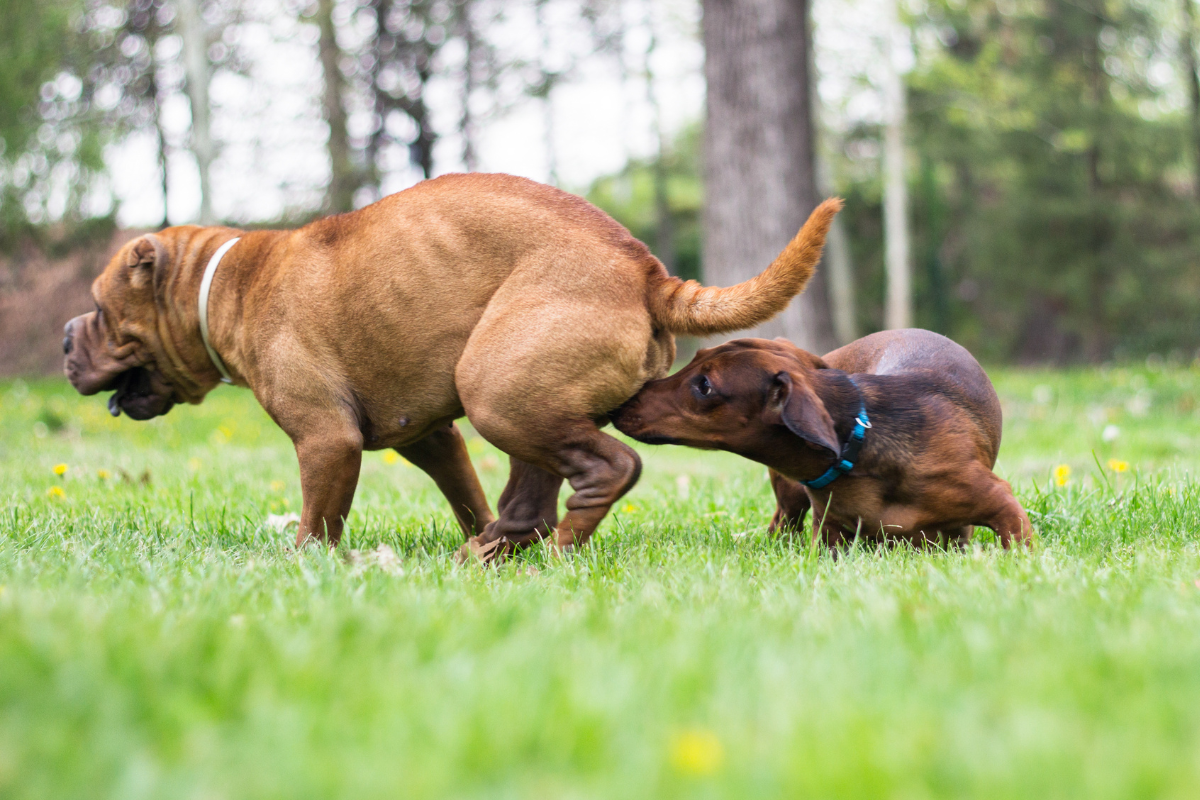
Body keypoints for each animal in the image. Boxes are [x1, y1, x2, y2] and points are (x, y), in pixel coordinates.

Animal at [58, 172, 844, 554]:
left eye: (98, 308)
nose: (65, 338)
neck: (225, 282)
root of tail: (645, 270)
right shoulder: (430, 436)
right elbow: (465, 492)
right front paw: (472, 529)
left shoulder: (326, 440)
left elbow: (318, 520)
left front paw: (303, 565)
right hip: (521, 401)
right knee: (529, 495)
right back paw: (493, 551)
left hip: (497, 389)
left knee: (607, 470)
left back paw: (559, 548)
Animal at [614, 328, 1036, 546]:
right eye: (696, 356)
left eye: (704, 385)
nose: (622, 401)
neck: (858, 451)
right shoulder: (829, 533)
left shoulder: (1001, 504)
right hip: (789, 496)